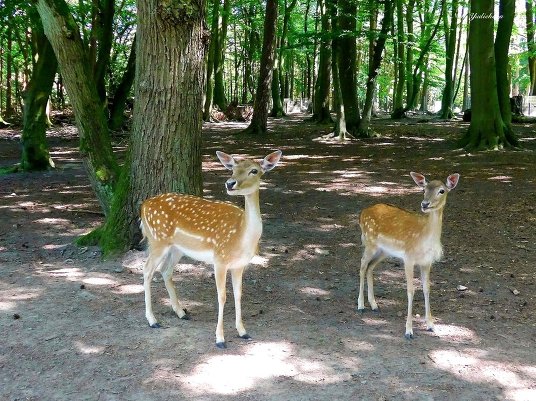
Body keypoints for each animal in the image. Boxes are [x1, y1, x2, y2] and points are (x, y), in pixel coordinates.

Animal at [140, 150, 282, 346]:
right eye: (233, 168)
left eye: (254, 170)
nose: (230, 183)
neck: (241, 237)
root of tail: (143, 206)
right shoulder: (220, 259)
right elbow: (222, 296)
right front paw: (220, 338)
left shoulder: (239, 265)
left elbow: (238, 294)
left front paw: (243, 332)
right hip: (157, 240)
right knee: (147, 270)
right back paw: (152, 320)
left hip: (176, 248)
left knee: (165, 270)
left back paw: (181, 313)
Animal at [358, 172, 458, 338]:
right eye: (424, 189)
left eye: (442, 190)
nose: (425, 204)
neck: (425, 238)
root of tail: (362, 213)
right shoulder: (409, 258)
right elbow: (410, 291)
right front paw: (409, 331)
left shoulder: (426, 262)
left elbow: (426, 289)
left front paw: (431, 325)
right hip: (369, 242)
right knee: (362, 266)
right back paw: (360, 305)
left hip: (383, 251)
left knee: (370, 267)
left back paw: (374, 304)